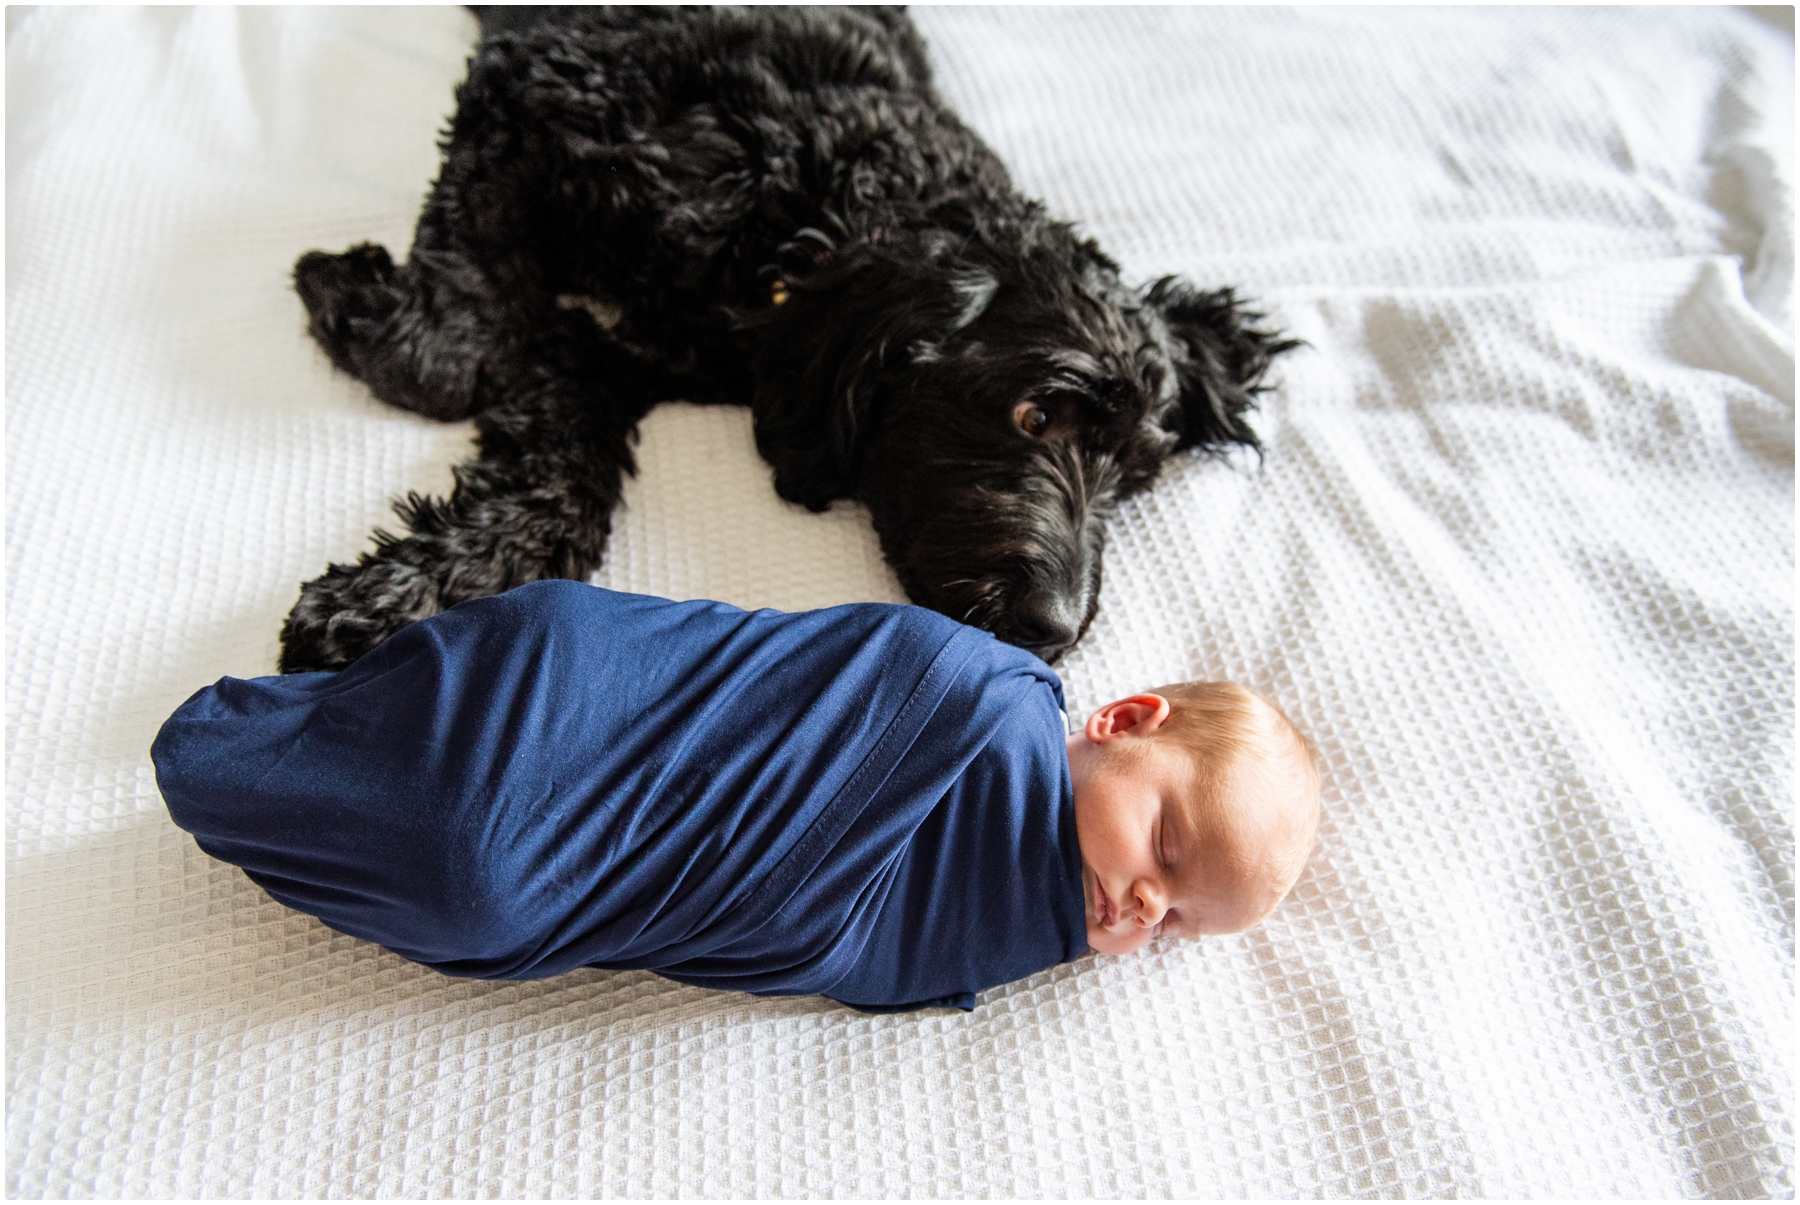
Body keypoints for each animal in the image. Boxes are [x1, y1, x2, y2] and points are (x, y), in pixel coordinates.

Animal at [277, 4, 1296, 673]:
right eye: (1034, 415)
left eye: (1133, 479)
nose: (1056, 628)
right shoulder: (529, 88)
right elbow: (447, 358)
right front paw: (355, 293)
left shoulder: (612, 359)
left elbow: (557, 481)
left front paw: (402, 592)